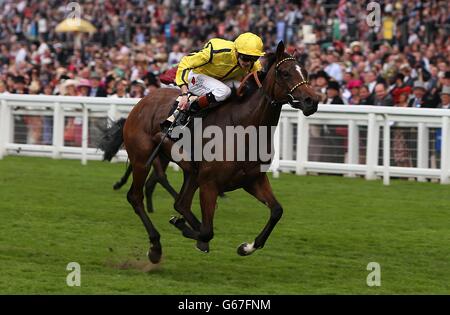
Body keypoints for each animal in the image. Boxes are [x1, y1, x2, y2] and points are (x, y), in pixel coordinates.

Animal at [100, 42, 318, 264]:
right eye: (285, 73)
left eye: (305, 71)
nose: (312, 100)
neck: (244, 127)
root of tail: (140, 104)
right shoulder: (210, 184)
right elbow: (207, 231)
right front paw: (185, 229)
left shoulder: (253, 180)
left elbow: (276, 211)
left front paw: (246, 247)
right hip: (142, 159)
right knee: (136, 197)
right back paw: (155, 246)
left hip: (191, 171)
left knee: (181, 203)